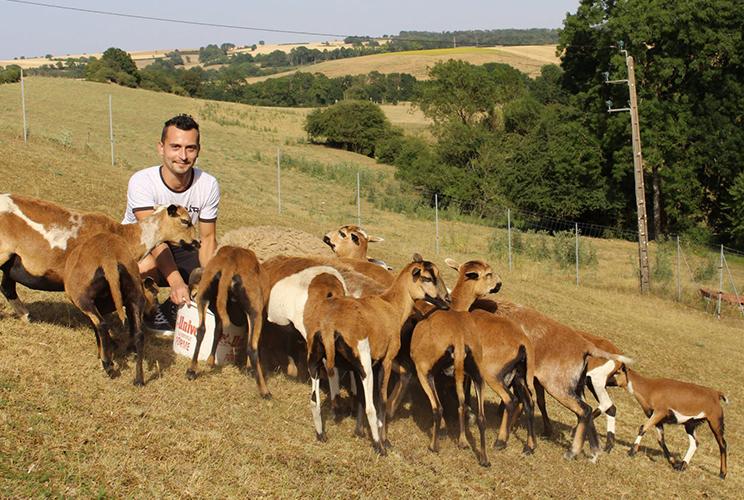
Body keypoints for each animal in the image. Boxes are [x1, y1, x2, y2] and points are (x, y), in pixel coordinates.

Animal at [185, 246, 272, 398]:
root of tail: (231, 260)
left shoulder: (218, 314)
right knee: (252, 347)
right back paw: (264, 391)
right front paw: (248, 368)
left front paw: (210, 362)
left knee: (201, 330)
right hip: (255, 310)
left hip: (204, 297)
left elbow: (217, 332)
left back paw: (192, 370)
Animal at [300, 254, 450, 454]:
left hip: (315, 360)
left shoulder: (358, 367)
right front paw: (384, 439)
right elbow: (381, 401)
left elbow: (360, 399)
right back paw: (380, 447)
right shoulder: (384, 361)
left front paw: (359, 432)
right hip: (364, 362)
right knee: (372, 407)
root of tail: (328, 326)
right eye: (427, 278)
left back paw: (321, 435)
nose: (447, 300)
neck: (391, 305)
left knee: (313, 401)